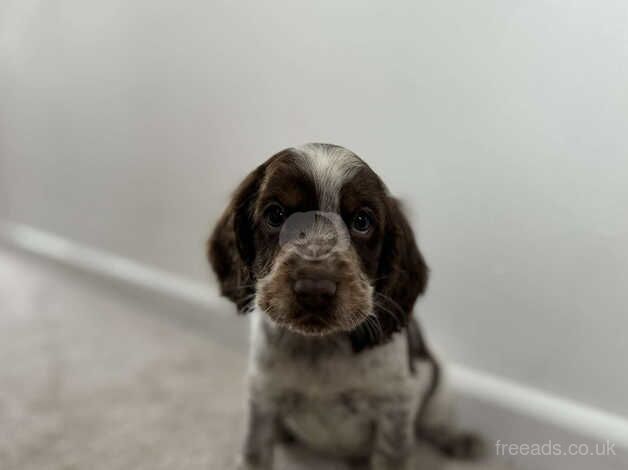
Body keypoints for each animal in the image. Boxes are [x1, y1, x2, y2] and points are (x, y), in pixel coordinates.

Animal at [210, 144, 480, 470]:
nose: (315, 290)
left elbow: (392, 456)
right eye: (275, 214)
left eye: (362, 222)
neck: (320, 345)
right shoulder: (261, 393)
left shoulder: (396, 404)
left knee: (435, 418)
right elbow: (255, 453)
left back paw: (457, 439)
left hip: (439, 380)